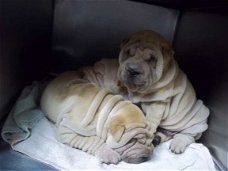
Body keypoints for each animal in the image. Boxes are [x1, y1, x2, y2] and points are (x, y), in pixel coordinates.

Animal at [79, 30, 210, 154]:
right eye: (129, 53)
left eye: (151, 59)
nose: (132, 70)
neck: (136, 91)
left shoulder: (158, 103)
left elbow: (151, 119)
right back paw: (158, 138)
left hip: (198, 120)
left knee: (186, 136)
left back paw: (177, 145)